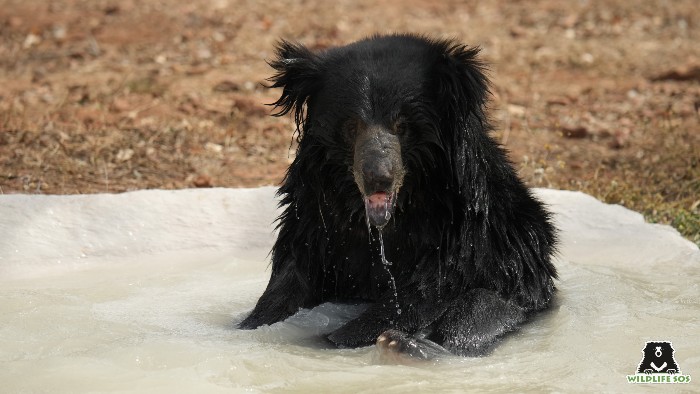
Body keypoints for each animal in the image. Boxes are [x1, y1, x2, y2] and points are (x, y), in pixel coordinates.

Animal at [241, 34, 556, 360]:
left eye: (403, 125)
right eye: (351, 125)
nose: (378, 178)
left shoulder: (473, 235)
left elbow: (430, 290)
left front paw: (345, 336)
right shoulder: (316, 221)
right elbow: (292, 278)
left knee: (480, 307)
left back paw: (410, 345)